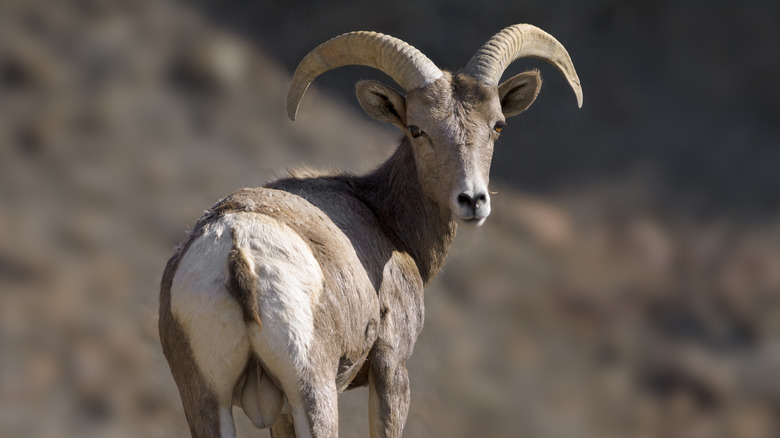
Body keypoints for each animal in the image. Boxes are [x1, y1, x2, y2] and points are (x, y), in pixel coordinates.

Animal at [159, 23, 582, 438]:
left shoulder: (278, 414)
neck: (382, 216)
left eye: (498, 125)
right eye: (416, 129)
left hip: (206, 401)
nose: (473, 200)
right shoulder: (391, 368)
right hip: (312, 394)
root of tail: (237, 253)